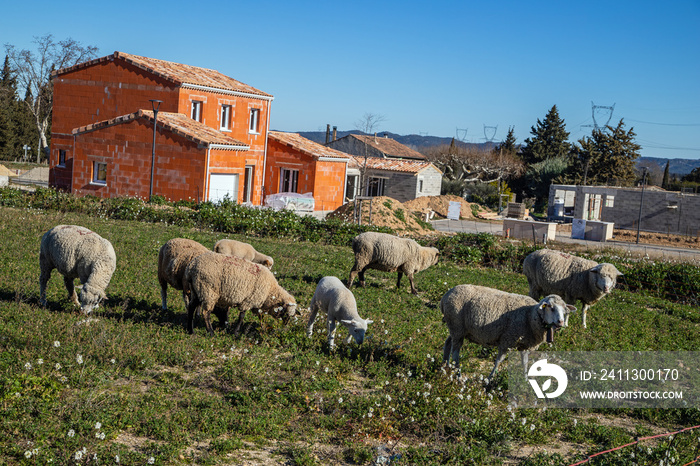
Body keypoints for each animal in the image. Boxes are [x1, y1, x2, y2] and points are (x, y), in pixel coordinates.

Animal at [440, 284, 576, 382]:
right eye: (551, 308)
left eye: (565, 310)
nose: (561, 322)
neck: (530, 315)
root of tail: (446, 295)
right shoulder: (507, 340)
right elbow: (499, 361)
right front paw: (489, 379)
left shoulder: (525, 345)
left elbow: (525, 362)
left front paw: (526, 380)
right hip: (457, 326)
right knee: (455, 353)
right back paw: (458, 375)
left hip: (456, 328)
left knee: (448, 343)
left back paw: (445, 367)